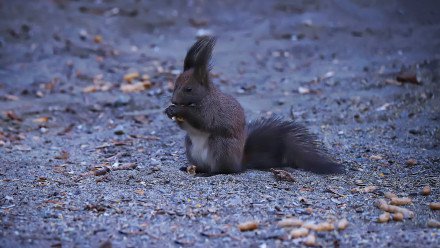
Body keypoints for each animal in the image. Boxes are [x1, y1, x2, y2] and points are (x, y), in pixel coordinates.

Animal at [165, 36, 344, 175]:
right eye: (175, 85)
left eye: (189, 89)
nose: (174, 100)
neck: (200, 99)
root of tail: (239, 162)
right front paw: (169, 110)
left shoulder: (212, 110)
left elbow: (203, 120)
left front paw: (179, 110)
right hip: (190, 147)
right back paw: (194, 169)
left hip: (221, 147)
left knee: (224, 170)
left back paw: (210, 173)